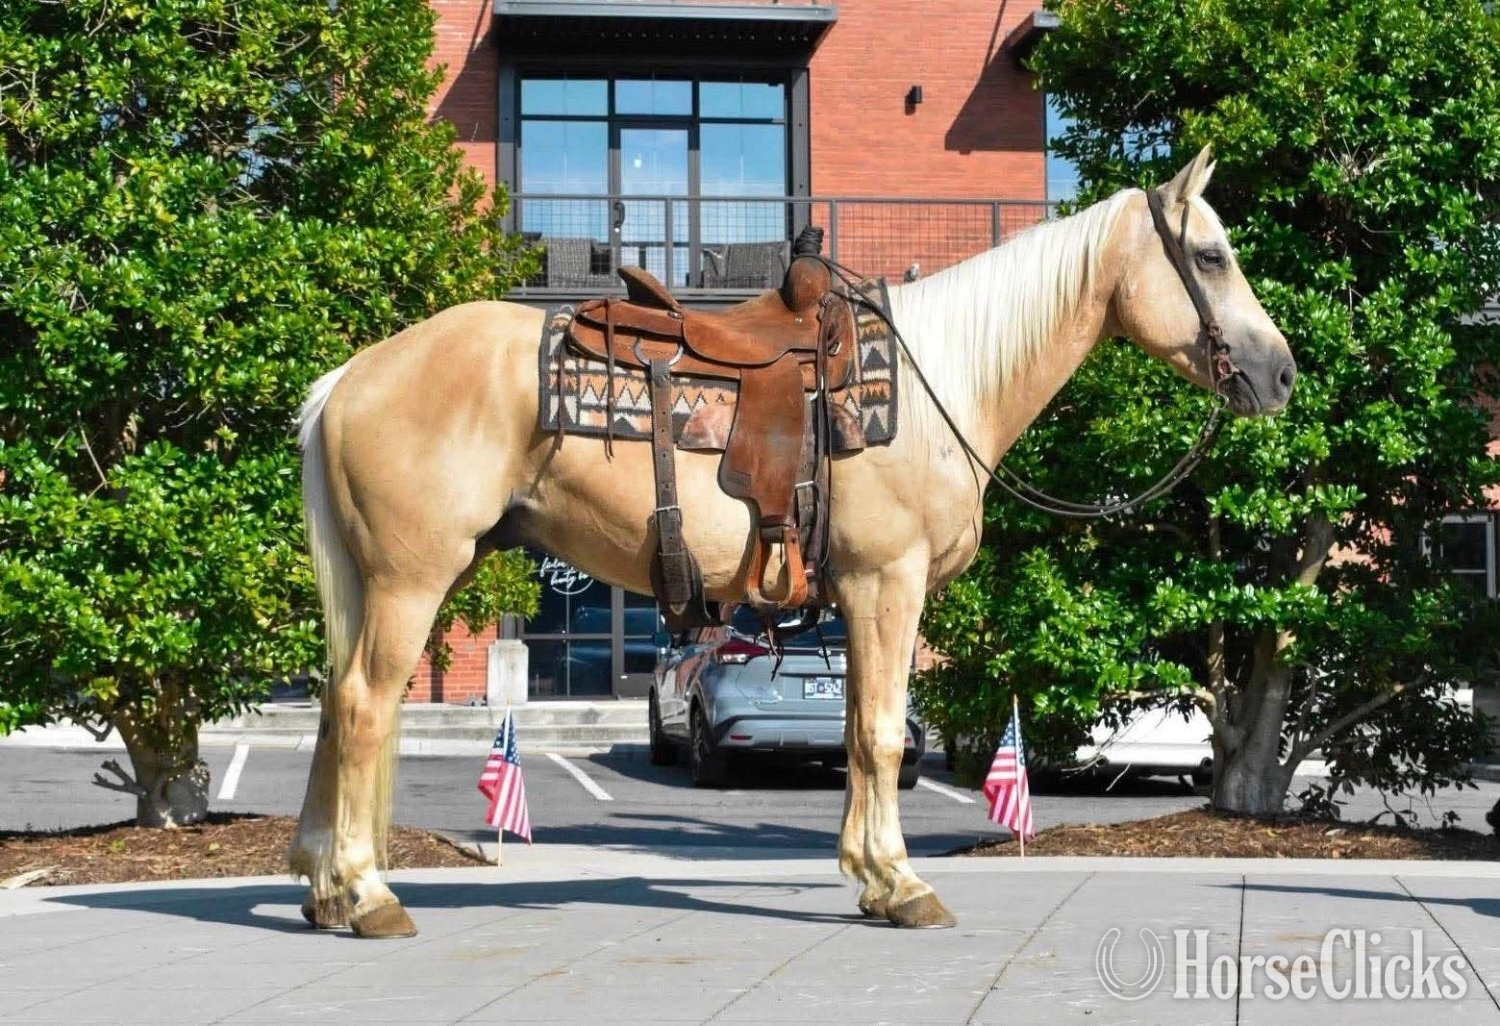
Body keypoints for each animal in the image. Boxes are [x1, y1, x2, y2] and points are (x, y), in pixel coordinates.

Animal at [289, 147, 1296, 938]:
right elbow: (882, 736)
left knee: (338, 703)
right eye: (1210, 255)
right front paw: (902, 884)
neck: (939, 383)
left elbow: (854, 734)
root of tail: (349, 376)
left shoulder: (856, 597)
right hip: (410, 578)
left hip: (375, 581)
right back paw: (368, 895)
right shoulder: (889, 584)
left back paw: (324, 889)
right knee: (367, 705)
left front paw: (869, 877)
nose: (1281, 373)